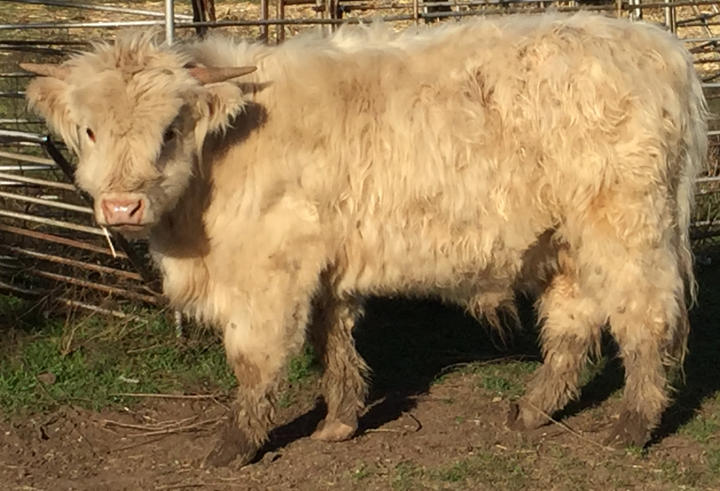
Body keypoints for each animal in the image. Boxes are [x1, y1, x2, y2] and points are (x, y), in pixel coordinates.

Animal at [21, 12, 708, 467]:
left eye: (168, 129)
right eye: (88, 130)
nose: (122, 205)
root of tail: (655, 44)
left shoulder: (267, 272)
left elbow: (256, 359)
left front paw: (235, 444)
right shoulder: (322, 265)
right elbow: (333, 341)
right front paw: (340, 421)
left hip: (628, 229)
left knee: (646, 318)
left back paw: (633, 425)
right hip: (568, 241)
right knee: (572, 322)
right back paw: (532, 409)